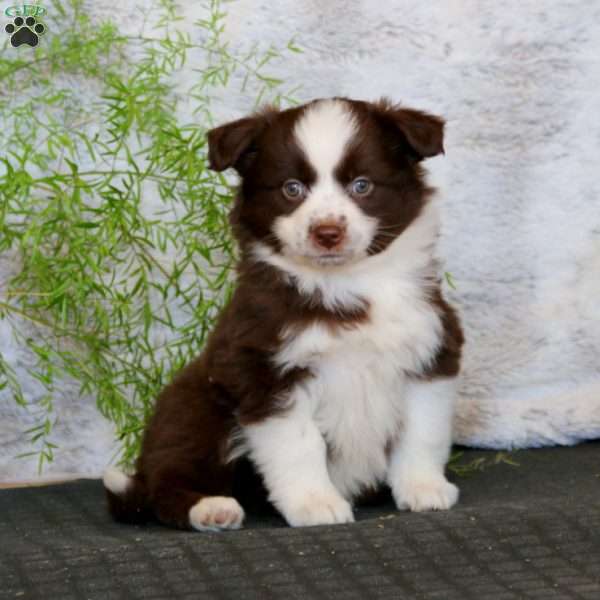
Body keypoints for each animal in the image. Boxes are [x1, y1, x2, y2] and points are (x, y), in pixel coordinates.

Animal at [103, 97, 464, 528]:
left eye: (362, 185)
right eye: (293, 189)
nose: (327, 233)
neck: (346, 285)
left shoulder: (429, 354)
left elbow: (421, 431)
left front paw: (423, 488)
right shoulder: (264, 370)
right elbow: (299, 445)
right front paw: (315, 504)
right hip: (195, 405)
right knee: (165, 484)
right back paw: (210, 508)